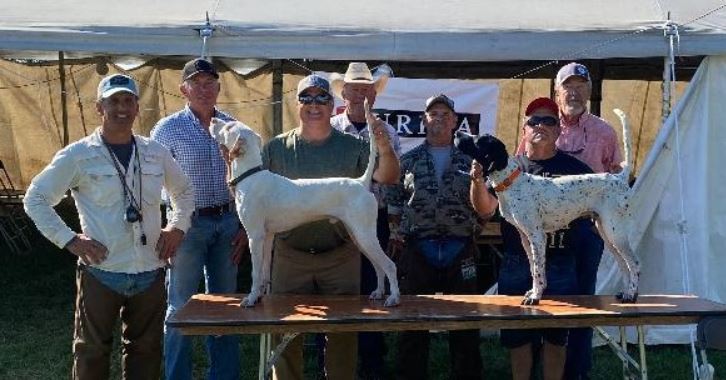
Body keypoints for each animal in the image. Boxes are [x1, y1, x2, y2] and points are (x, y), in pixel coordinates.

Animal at [210, 116, 400, 308]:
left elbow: (255, 273)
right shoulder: (267, 236)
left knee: (390, 265)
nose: (212, 119)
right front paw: (259, 296)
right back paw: (378, 292)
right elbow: (263, 271)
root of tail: (361, 182)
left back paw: (394, 298)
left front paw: (250, 298)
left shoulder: (255, 237)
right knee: (378, 266)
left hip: (364, 235)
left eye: (228, 127)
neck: (251, 175)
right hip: (359, 236)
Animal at [458, 108, 640, 304]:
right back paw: (625, 292)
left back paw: (631, 294)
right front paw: (534, 291)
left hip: (615, 232)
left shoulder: (537, 236)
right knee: (624, 265)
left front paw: (535, 296)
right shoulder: (525, 237)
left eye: (478, 140)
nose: (457, 133)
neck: (511, 182)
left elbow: (538, 270)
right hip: (607, 233)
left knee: (634, 263)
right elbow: (533, 268)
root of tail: (619, 177)